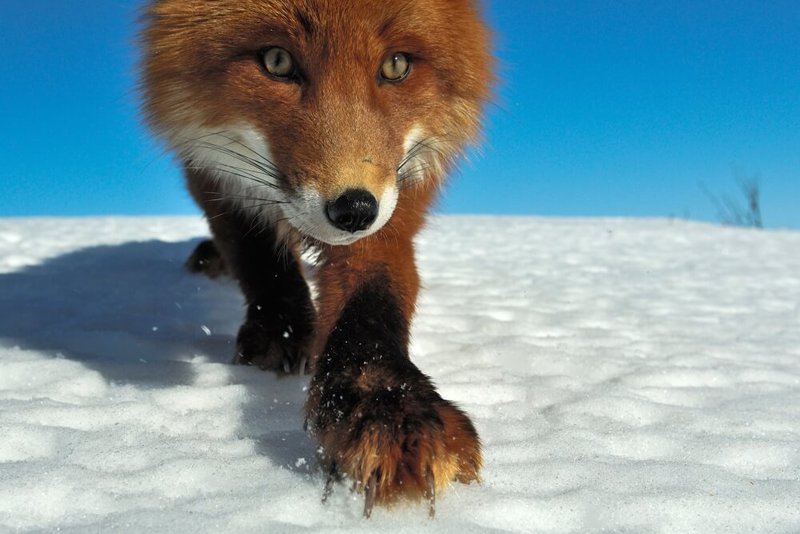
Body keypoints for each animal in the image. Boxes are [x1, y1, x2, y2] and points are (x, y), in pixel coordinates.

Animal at [144, 0, 494, 520]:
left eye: (396, 65)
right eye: (276, 61)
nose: (354, 209)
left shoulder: (396, 197)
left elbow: (373, 300)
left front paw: (386, 401)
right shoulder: (209, 170)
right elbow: (257, 255)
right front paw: (282, 329)